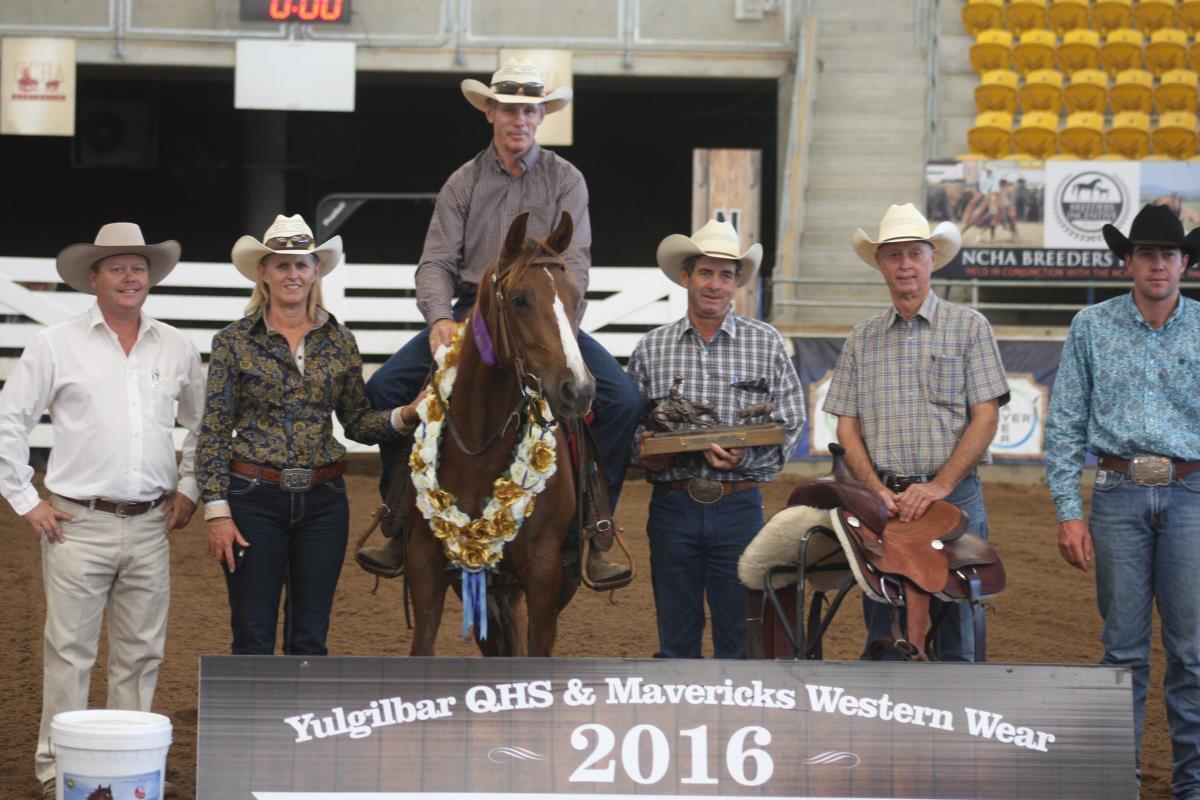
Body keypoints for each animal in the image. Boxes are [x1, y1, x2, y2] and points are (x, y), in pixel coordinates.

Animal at [404, 210, 591, 657]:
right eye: (520, 299)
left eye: (576, 298)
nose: (578, 389)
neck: (478, 448)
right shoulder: (425, 567)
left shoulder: (544, 574)